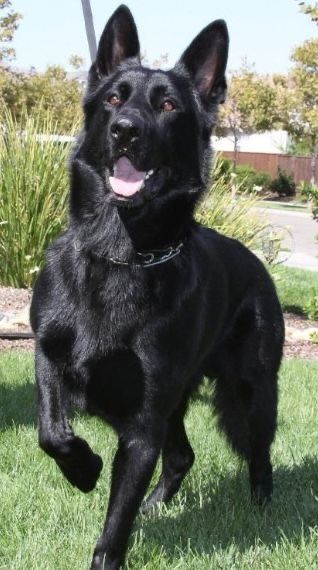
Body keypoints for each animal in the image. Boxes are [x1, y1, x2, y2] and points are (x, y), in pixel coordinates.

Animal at [30, 5, 284, 568]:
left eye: (167, 105)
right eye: (113, 99)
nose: (125, 131)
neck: (121, 255)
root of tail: (257, 265)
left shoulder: (143, 425)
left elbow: (114, 525)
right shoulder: (49, 357)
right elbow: (52, 432)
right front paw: (84, 468)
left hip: (252, 389)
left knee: (259, 454)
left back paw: (262, 511)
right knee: (184, 455)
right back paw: (156, 505)